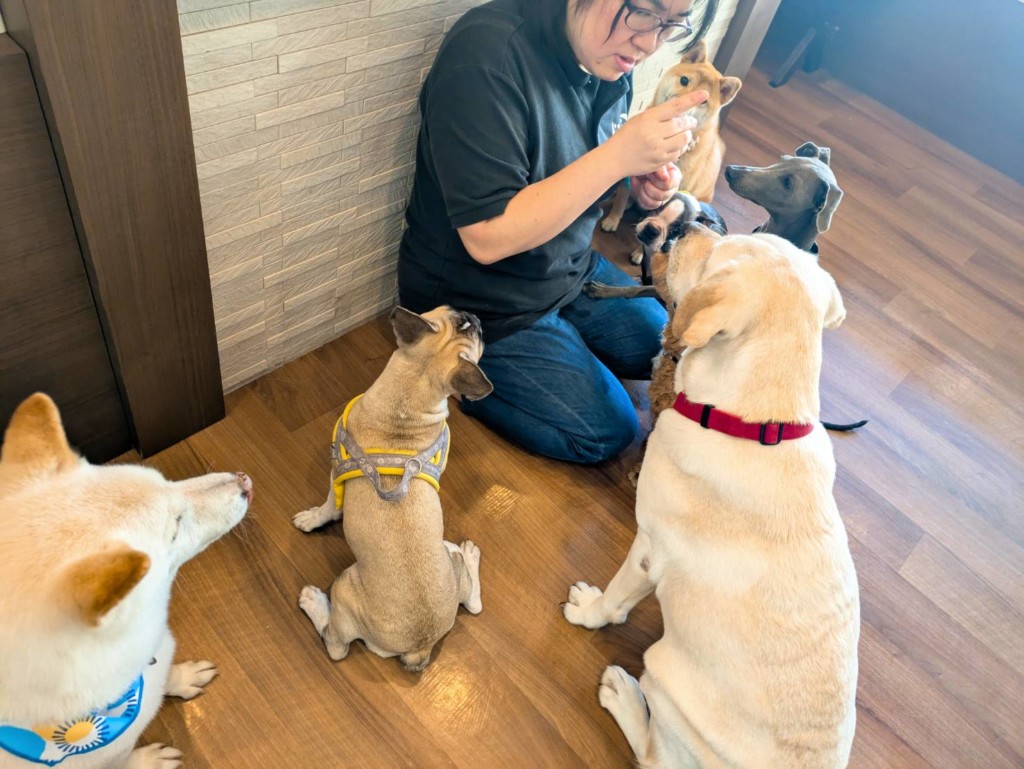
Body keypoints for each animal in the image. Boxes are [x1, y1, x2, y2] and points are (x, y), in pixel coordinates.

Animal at [0, 393, 251, 769]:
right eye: (176, 527)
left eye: (165, 481)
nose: (244, 481)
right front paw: (149, 761)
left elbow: (162, 672)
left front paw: (180, 677)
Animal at [294, 306, 493, 672]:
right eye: (458, 317)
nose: (476, 316)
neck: (409, 400)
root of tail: (419, 645)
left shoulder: (335, 471)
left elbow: (330, 505)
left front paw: (313, 518)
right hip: (453, 572)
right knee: (473, 603)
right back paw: (469, 555)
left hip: (344, 587)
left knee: (335, 644)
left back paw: (314, 601)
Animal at [564, 225, 860, 768]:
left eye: (719, 253)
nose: (683, 229)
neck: (756, 425)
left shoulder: (650, 548)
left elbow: (615, 599)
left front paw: (589, 611)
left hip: (661, 673)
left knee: (652, 754)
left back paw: (622, 694)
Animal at [600, 40, 742, 259]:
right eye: (684, 80)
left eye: (704, 101)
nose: (679, 105)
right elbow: (622, 195)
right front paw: (613, 218)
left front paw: (640, 253)